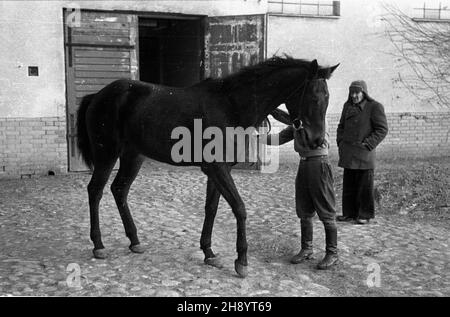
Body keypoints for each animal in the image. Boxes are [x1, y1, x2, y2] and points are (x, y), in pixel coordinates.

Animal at [77, 56, 338, 276]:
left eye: (328, 100)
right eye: (314, 98)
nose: (317, 141)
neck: (231, 106)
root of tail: (98, 95)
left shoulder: (219, 171)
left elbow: (211, 208)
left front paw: (209, 252)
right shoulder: (217, 168)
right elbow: (240, 208)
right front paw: (241, 261)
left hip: (133, 156)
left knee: (119, 190)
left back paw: (134, 241)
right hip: (107, 154)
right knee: (95, 191)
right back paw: (99, 245)